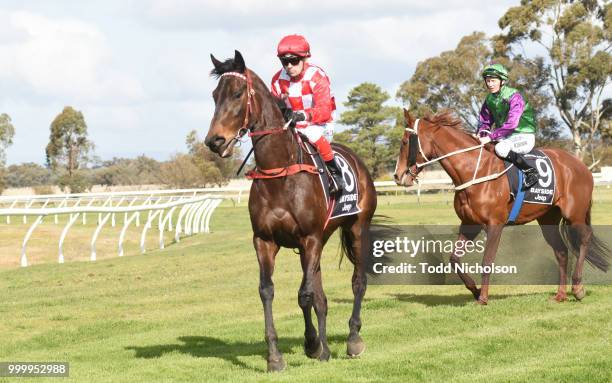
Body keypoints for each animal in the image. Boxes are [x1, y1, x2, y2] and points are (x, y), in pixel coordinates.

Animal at [206, 51, 378, 372]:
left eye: (237, 94)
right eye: (214, 96)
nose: (215, 141)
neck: (280, 170)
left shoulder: (309, 238)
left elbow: (303, 295)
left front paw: (311, 344)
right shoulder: (266, 240)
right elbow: (269, 291)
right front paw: (276, 356)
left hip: (357, 228)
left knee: (357, 282)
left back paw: (352, 339)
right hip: (319, 242)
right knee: (321, 297)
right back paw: (326, 348)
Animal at [394, 109, 608, 306]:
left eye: (404, 142)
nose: (397, 176)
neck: (474, 170)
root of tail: (581, 165)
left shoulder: (494, 224)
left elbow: (487, 261)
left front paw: (483, 298)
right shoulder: (469, 224)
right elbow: (454, 259)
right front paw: (475, 290)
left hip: (575, 214)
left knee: (585, 239)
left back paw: (578, 288)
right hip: (548, 219)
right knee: (562, 252)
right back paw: (561, 295)